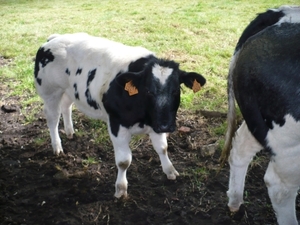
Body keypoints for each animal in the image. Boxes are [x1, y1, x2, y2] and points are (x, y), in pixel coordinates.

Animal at [33, 32, 206, 199]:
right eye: (148, 91)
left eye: (176, 90)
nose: (166, 125)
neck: (144, 118)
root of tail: (54, 39)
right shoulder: (117, 124)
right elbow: (124, 161)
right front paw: (121, 189)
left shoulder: (155, 123)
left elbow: (163, 148)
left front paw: (170, 170)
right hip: (50, 92)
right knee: (52, 118)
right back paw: (57, 146)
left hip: (69, 90)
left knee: (66, 106)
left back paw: (70, 132)